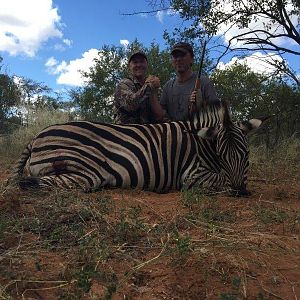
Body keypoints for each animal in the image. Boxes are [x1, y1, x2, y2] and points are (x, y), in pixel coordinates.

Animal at [7, 101, 264, 195]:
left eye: (247, 156)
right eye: (221, 155)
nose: (241, 193)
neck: (200, 144)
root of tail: (36, 136)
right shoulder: (191, 174)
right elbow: (221, 179)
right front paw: (227, 187)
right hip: (87, 171)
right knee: (32, 183)